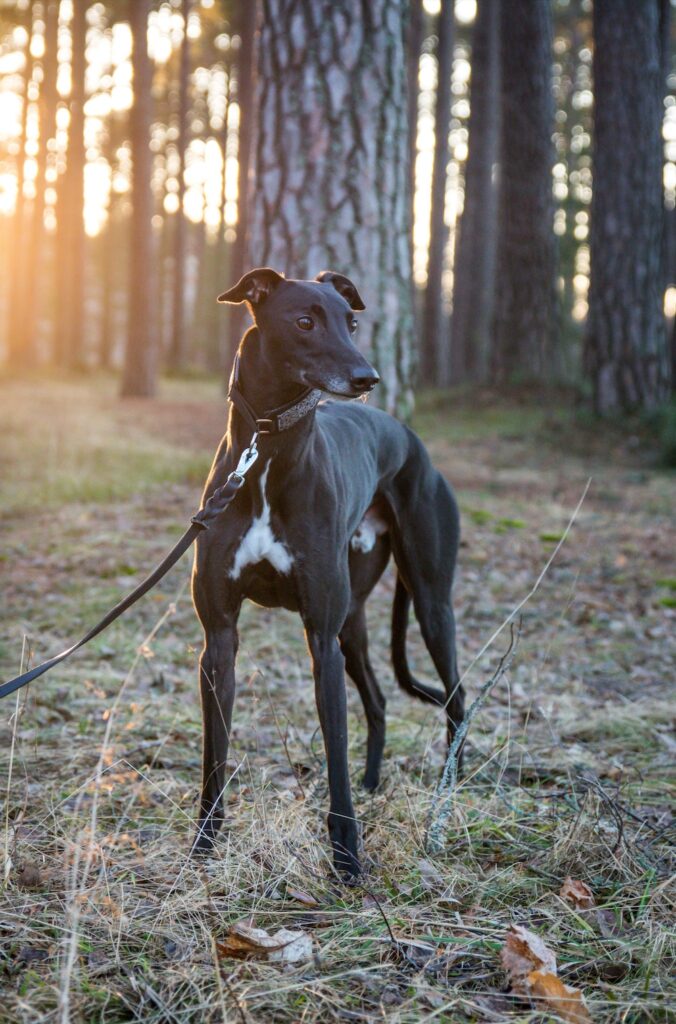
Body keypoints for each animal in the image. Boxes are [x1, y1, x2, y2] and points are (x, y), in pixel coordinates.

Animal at [191, 268, 465, 876]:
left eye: (352, 323)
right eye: (303, 321)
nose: (368, 377)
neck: (265, 455)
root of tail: (410, 440)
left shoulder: (320, 636)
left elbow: (334, 745)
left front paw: (346, 856)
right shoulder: (219, 637)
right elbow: (214, 751)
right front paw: (204, 842)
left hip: (429, 604)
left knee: (458, 700)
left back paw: (450, 794)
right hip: (354, 620)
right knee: (381, 701)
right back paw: (373, 782)